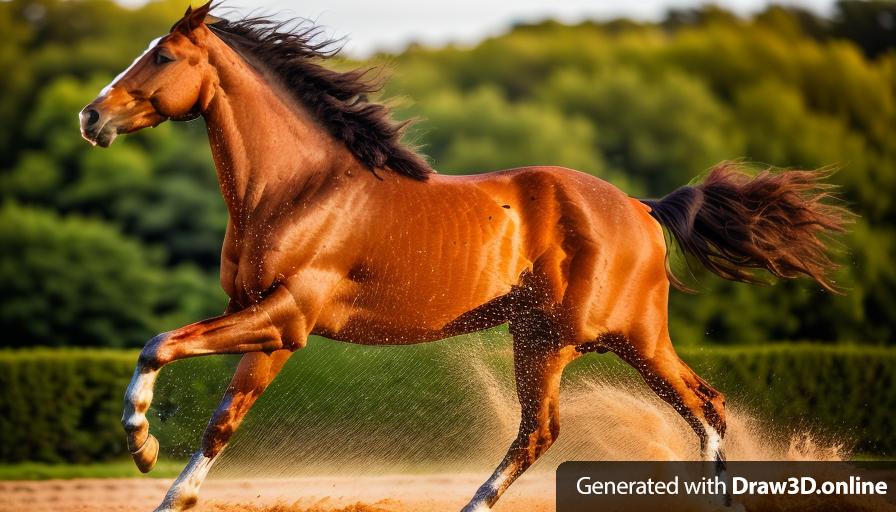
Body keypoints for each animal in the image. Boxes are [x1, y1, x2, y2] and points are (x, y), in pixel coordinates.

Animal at [79, 5, 856, 512]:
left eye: (164, 56)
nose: (91, 116)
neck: (297, 189)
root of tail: (641, 208)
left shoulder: (286, 315)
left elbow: (158, 344)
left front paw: (140, 442)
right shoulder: (269, 327)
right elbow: (223, 419)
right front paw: (169, 491)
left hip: (602, 336)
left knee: (684, 408)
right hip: (546, 337)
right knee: (560, 429)